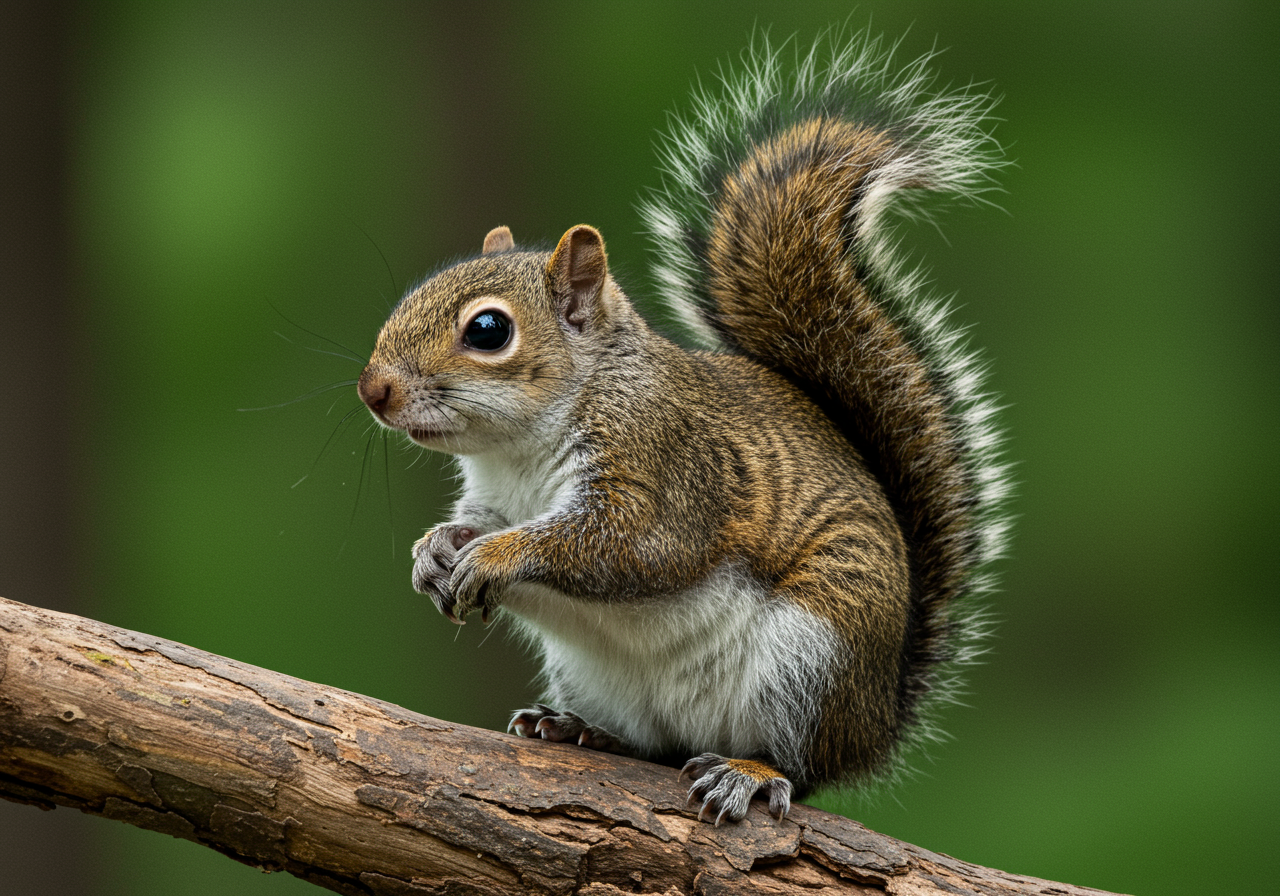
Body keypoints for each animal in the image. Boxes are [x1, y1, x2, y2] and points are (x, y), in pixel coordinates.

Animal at [356, 31, 1007, 825]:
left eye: (487, 330)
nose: (373, 390)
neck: (522, 449)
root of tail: (876, 720)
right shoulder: (493, 494)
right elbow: (473, 522)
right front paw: (435, 551)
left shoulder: (664, 470)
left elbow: (625, 545)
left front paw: (495, 557)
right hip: (598, 674)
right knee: (654, 746)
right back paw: (578, 728)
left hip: (810, 659)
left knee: (801, 767)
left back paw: (748, 772)